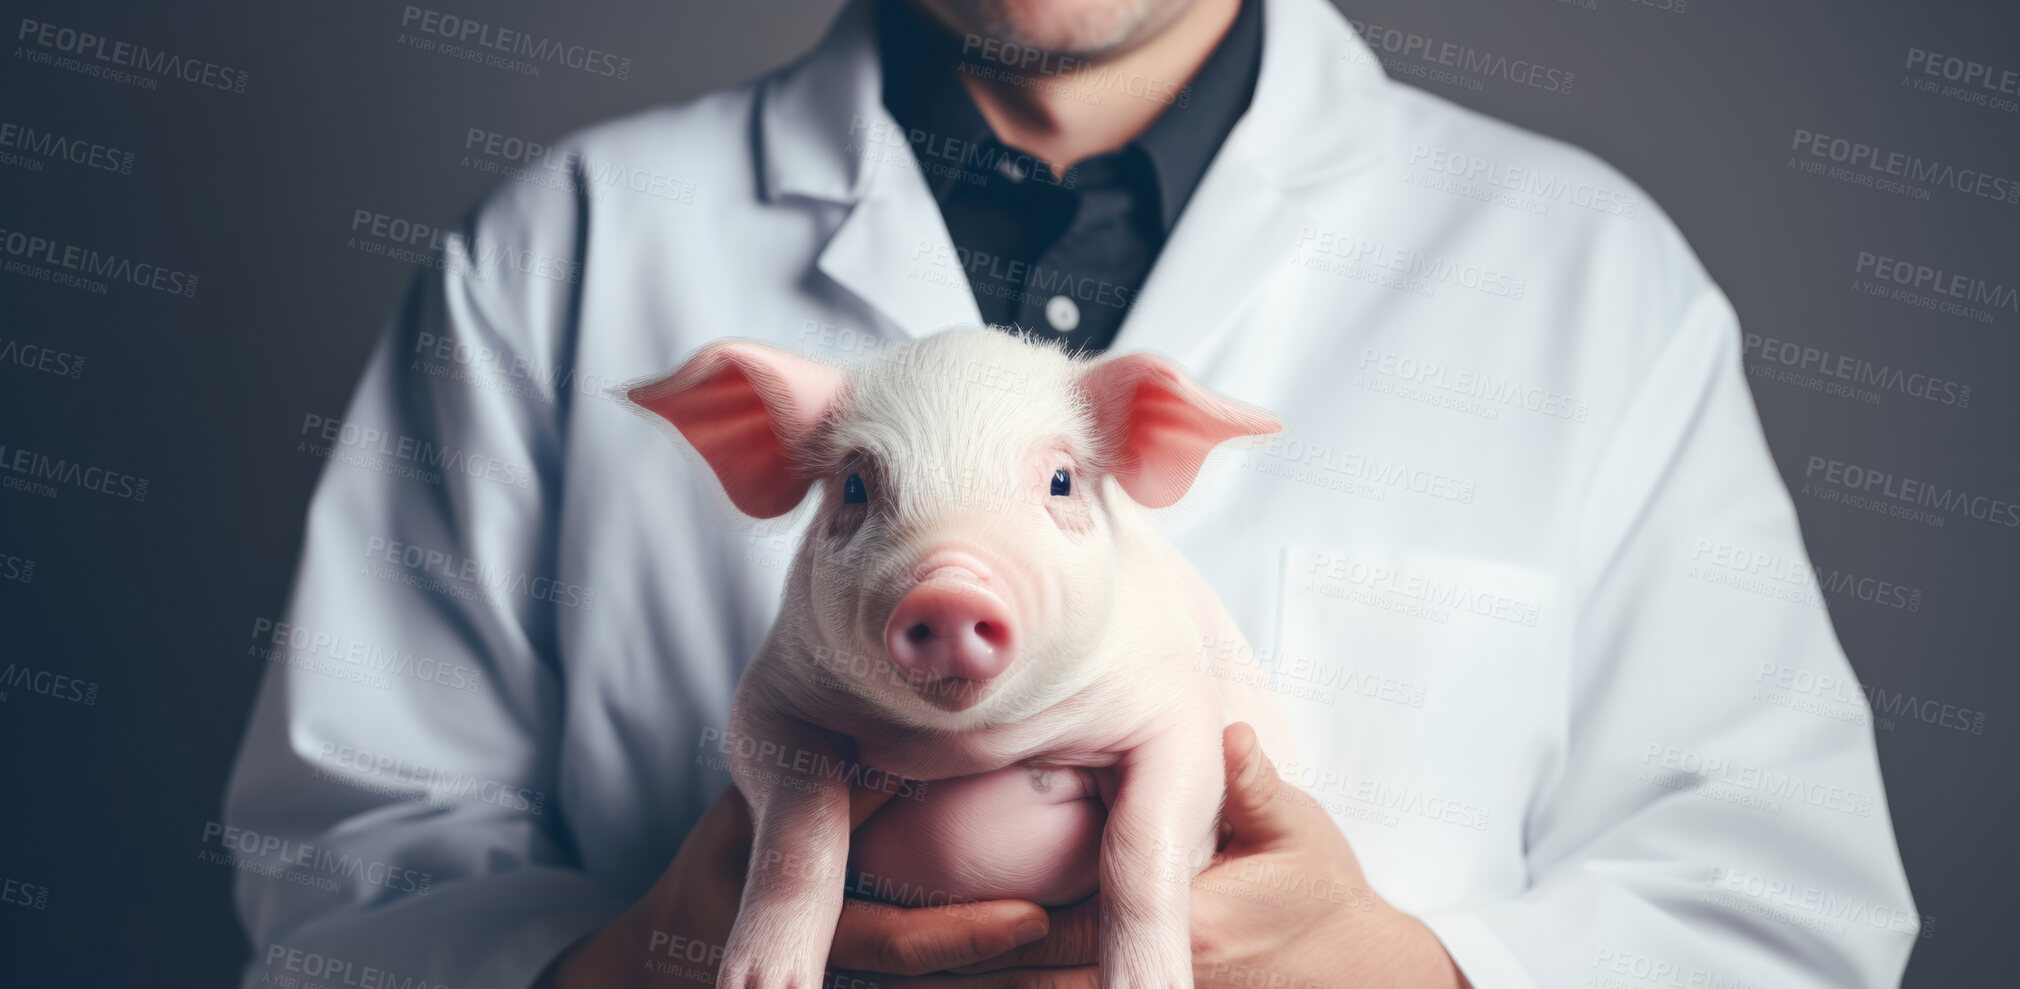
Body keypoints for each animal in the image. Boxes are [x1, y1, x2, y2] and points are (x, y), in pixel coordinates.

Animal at [622, 327, 1294, 989]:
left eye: (1061, 480)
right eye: (854, 487)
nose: (950, 592)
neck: (963, 742)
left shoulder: (1178, 707)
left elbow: (1141, 845)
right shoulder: (770, 699)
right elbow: (800, 829)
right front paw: (761, 983)